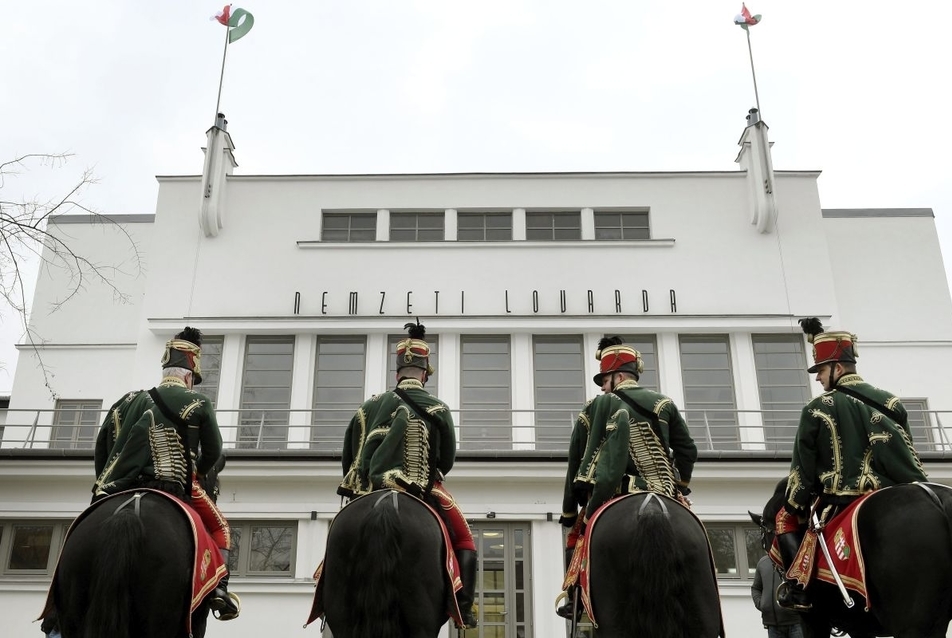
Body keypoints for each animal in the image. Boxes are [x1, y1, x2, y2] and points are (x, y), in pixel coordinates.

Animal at [752, 480, 952, 638]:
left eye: (765, 533)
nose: (784, 592)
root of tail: (937, 500)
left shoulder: (814, 621)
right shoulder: (859, 627)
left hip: (911, 626)